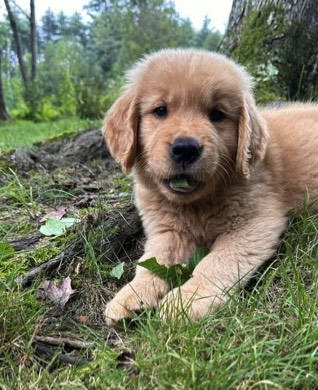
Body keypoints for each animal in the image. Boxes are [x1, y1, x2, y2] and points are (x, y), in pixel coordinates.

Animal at [102, 48, 318, 326]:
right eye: (160, 111)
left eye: (216, 115)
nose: (185, 148)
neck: (197, 204)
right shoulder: (167, 230)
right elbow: (153, 259)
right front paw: (132, 294)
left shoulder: (255, 222)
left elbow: (215, 262)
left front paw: (186, 301)